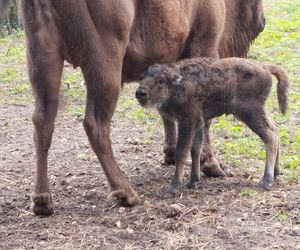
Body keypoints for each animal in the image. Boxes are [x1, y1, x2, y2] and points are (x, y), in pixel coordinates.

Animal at [17, 0, 264, 215]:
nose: (262, 21)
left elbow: (166, 111)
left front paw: (171, 154)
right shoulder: (205, 46)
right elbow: (204, 120)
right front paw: (212, 165)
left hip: (43, 58)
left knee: (42, 122)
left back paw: (42, 201)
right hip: (105, 65)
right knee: (95, 124)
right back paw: (126, 193)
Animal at [136, 57, 288, 194]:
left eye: (161, 81)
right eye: (143, 76)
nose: (140, 93)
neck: (177, 84)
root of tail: (265, 67)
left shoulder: (187, 121)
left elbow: (182, 152)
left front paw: (173, 187)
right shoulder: (198, 122)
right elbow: (196, 149)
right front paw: (193, 181)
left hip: (250, 113)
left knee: (270, 137)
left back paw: (267, 181)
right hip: (258, 112)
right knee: (275, 129)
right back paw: (275, 173)